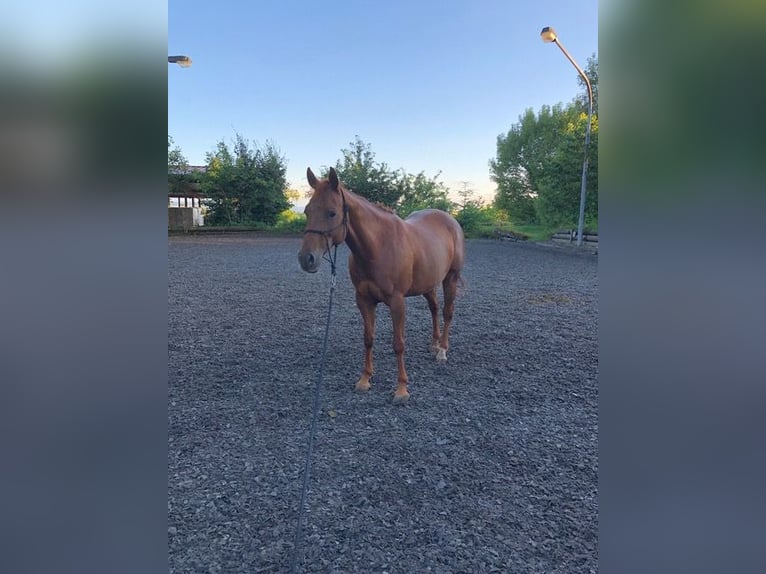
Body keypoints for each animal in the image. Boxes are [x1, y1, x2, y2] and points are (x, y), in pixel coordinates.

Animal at [296, 166, 464, 404]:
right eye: (307, 211)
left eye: (332, 213)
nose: (306, 259)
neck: (377, 247)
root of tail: (449, 219)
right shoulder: (364, 300)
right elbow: (368, 338)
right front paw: (365, 379)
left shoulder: (397, 302)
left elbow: (398, 344)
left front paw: (401, 389)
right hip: (428, 284)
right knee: (434, 308)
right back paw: (434, 344)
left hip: (451, 278)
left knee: (448, 312)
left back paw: (442, 350)